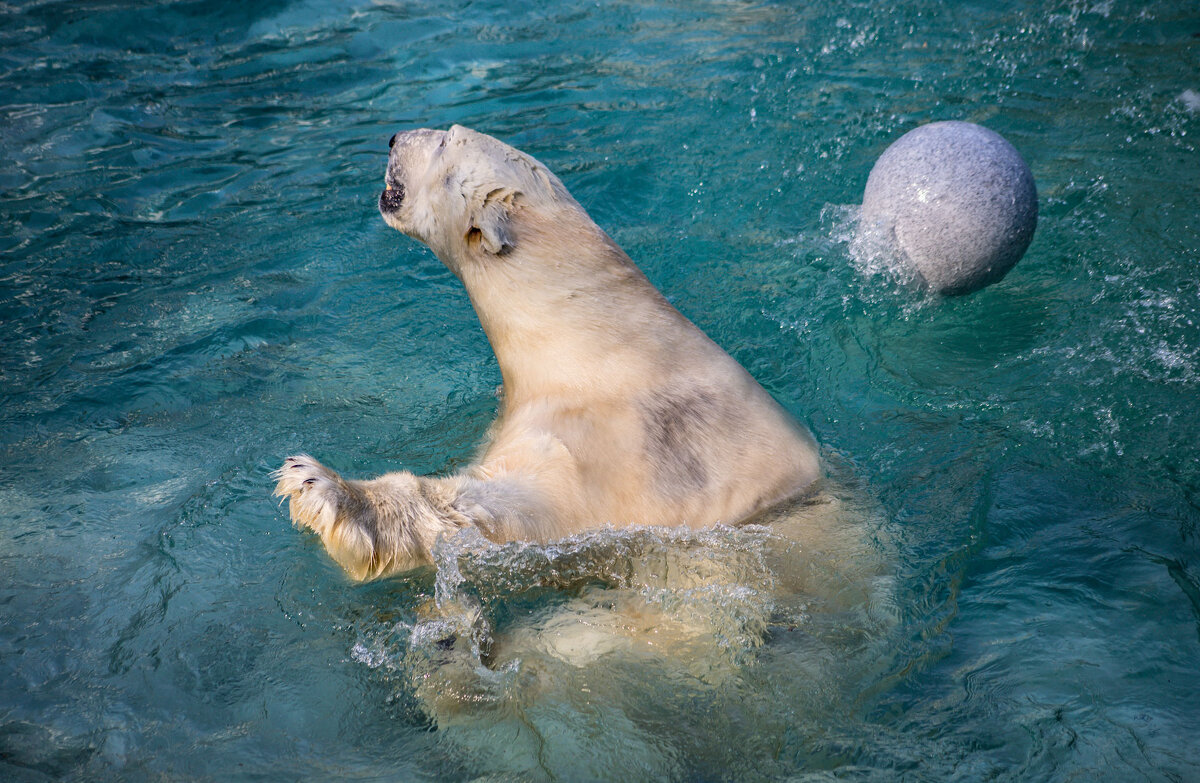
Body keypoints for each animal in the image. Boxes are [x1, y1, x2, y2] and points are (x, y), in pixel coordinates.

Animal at [273, 125, 820, 578]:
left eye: (447, 139)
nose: (391, 138)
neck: (595, 345)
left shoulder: (628, 456)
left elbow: (507, 508)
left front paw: (323, 486)